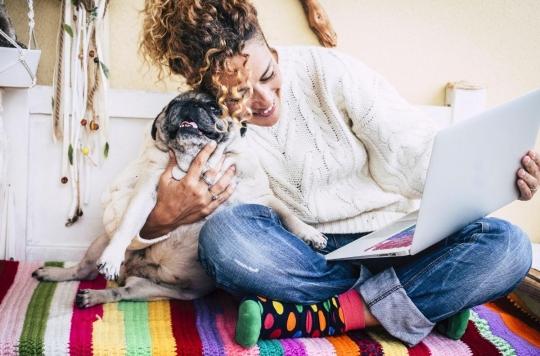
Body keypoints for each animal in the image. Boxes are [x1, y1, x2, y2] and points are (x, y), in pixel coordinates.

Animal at [34, 90, 330, 308]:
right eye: (173, 104)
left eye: (213, 107)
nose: (189, 104)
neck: (195, 161)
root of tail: (141, 271)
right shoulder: (147, 191)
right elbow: (129, 223)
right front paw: (113, 256)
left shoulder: (260, 196)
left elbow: (287, 212)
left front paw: (310, 233)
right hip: (100, 240)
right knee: (83, 270)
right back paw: (55, 274)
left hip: (148, 290)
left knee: (121, 293)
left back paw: (96, 295)